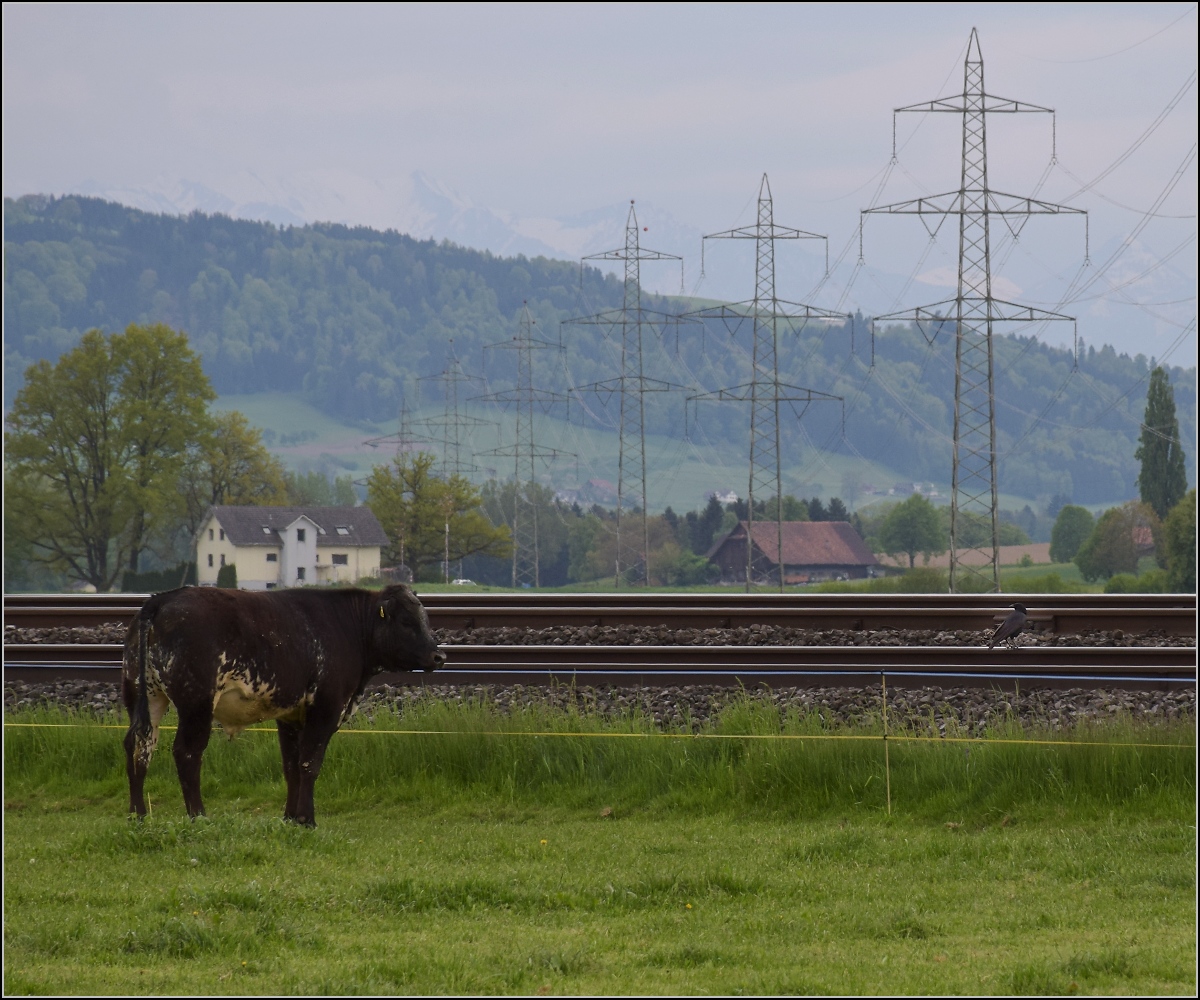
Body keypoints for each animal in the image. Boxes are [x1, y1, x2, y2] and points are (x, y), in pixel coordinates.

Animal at [121, 581, 446, 821]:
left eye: (425, 619)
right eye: (406, 621)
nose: (438, 656)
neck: (347, 628)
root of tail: (161, 600)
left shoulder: (290, 715)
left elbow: (291, 767)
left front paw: (290, 817)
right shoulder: (325, 709)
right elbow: (309, 763)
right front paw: (307, 819)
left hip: (144, 695)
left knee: (139, 745)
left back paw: (138, 815)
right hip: (196, 706)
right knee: (186, 753)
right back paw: (198, 815)